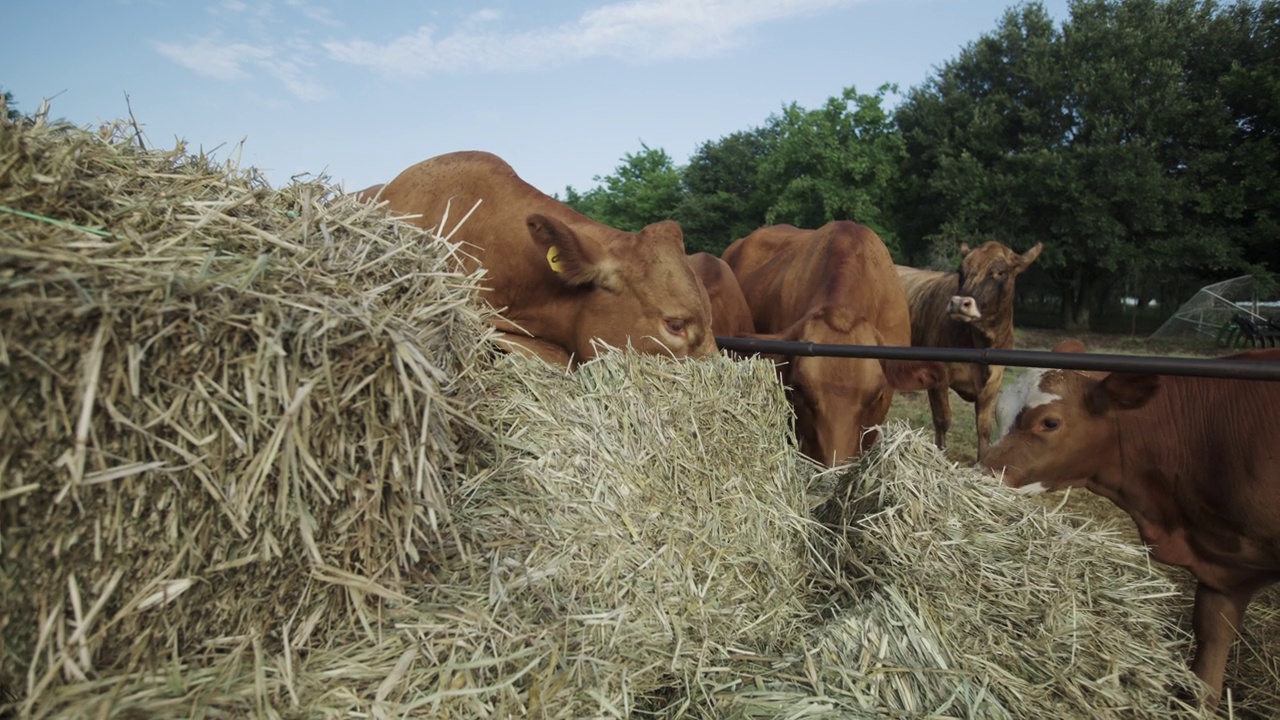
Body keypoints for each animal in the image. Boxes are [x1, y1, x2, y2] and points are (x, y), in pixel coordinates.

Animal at [901, 239, 1039, 453]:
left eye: (1000, 272)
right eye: (961, 271)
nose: (959, 303)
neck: (981, 343)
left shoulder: (993, 383)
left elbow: (984, 428)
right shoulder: (937, 375)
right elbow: (942, 420)